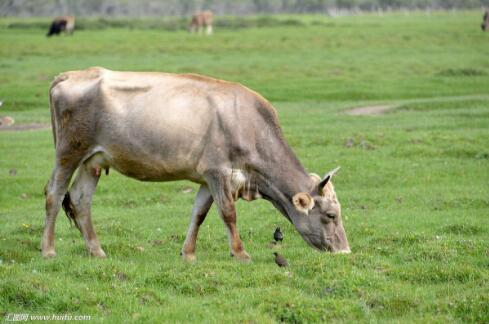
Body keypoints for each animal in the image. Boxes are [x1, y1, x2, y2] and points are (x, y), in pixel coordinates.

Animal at [40, 67, 348, 260]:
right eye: (331, 215)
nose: (345, 251)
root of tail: (69, 75)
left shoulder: (206, 178)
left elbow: (198, 214)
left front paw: (187, 253)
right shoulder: (219, 172)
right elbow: (228, 214)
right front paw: (240, 253)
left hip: (92, 160)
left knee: (81, 200)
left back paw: (97, 251)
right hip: (68, 152)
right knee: (54, 194)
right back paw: (48, 250)